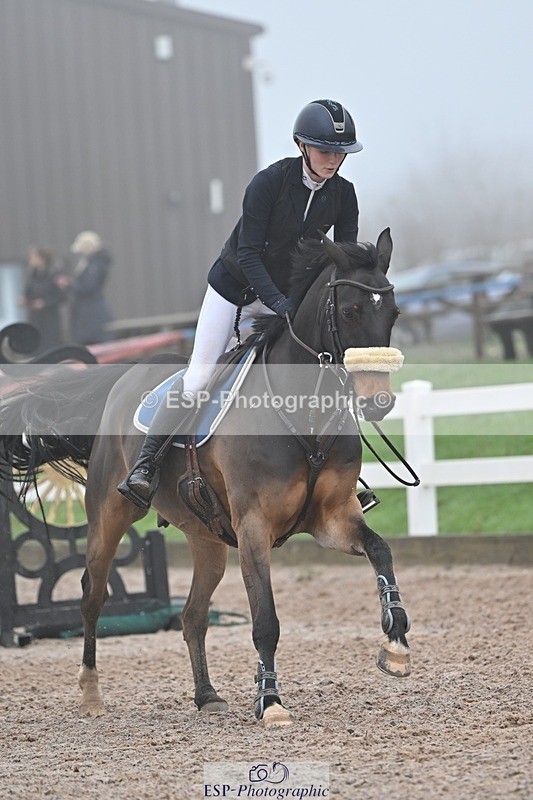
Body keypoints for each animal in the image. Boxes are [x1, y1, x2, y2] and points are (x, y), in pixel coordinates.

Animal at [0, 229, 411, 728]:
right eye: (350, 311)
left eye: (393, 313)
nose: (378, 403)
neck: (305, 414)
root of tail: (121, 379)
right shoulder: (254, 525)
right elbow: (265, 620)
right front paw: (270, 702)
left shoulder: (332, 518)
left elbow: (380, 550)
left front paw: (396, 641)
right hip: (109, 515)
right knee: (92, 597)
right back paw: (92, 695)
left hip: (207, 538)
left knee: (193, 615)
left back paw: (206, 695)